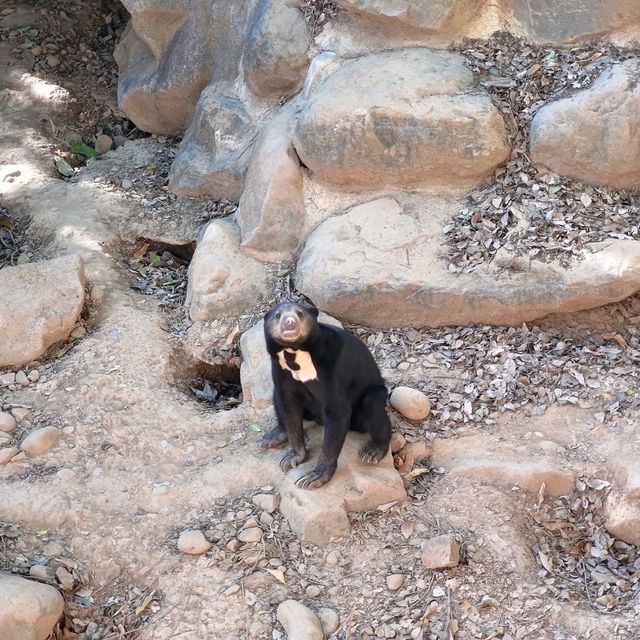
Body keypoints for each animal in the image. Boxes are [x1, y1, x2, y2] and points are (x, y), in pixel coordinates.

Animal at [258, 300, 390, 490]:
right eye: (278, 315)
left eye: (300, 313)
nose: (289, 323)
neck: (294, 353)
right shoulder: (280, 368)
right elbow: (288, 405)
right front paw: (293, 457)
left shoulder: (331, 368)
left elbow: (337, 413)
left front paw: (314, 477)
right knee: (277, 396)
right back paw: (273, 436)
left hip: (372, 397)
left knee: (373, 405)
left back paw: (373, 451)